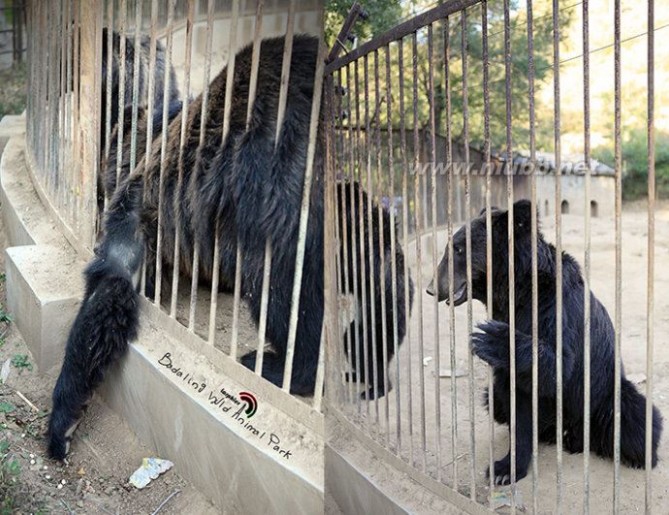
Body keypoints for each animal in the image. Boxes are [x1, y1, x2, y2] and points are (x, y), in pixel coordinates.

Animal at [426, 201, 660, 484]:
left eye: (459, 249)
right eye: (452, 247)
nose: (432, 288)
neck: (516, 293)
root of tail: (572, 433)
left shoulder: (554, 310)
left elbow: (560, 364)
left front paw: (489, 337)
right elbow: (518, 403)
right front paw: (504, 468)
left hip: (604, 395)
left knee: (635, 418)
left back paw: (638, 456)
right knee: (495, 400)